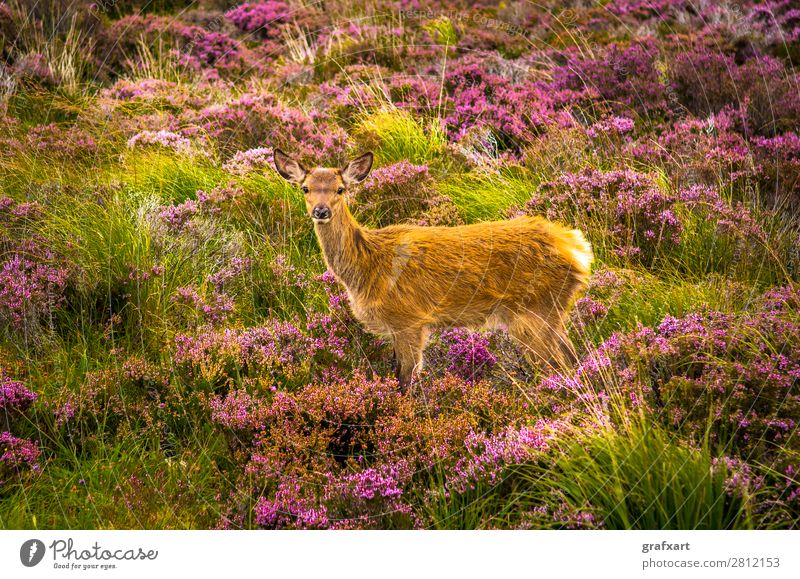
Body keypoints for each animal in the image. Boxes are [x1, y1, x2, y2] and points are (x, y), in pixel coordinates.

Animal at [276, 152, 592, 390]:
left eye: (340, 189)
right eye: (305, 188)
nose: (320, 211)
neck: (368, 268)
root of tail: (578, 248)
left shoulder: (409, 319)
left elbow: (405, 380)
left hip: (535, 309)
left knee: (560, 364)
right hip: (550, 311)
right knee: (573, 357)